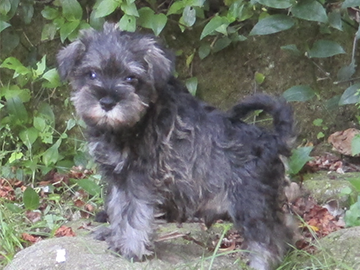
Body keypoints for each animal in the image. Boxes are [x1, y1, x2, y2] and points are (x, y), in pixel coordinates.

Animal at [57, 23, 296, 270]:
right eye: (92, 74)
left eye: (131, 78)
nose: (106, 102)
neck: (137, 120)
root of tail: (273, 139)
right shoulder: (119, 178)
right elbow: (118, 208)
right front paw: (114, 236)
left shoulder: (140, 179)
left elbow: (134, 214)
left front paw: (131, 248)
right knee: (284, 226)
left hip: (249, 202)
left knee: (266, 237)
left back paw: (261, 262)